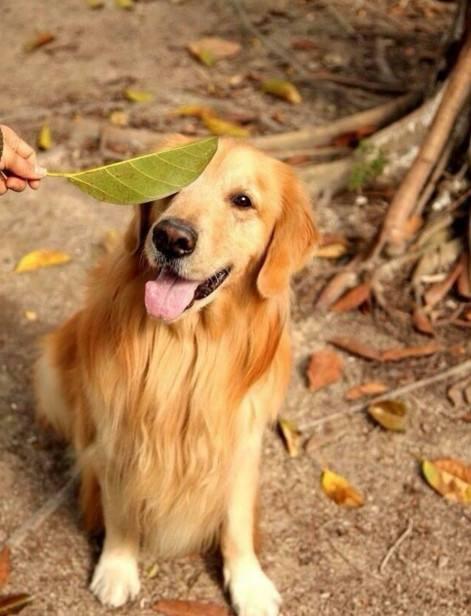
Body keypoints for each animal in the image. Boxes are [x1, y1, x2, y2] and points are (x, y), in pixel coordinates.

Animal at [35, 137, 318, 612]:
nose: (171, 237)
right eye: (171, 186)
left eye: (243, 201)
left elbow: (237, 522)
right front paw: (117, 566)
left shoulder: (241, 441)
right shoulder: (120, 436)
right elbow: (121, 511)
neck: (187, 343)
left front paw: (248, 582)